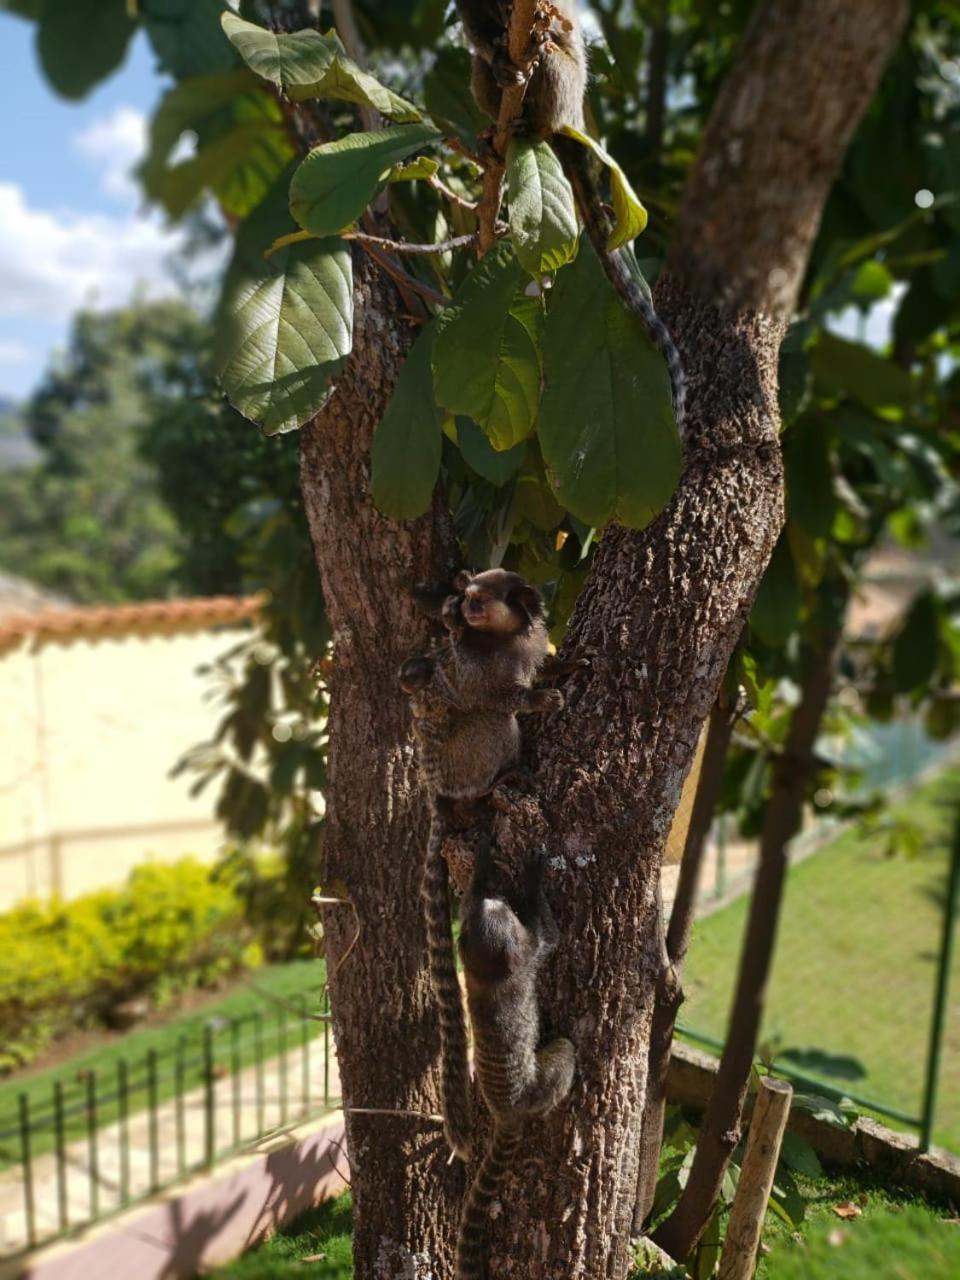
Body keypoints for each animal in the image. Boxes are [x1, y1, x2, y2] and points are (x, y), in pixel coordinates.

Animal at [399, 570, 563, 1162]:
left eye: (478, 602)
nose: (461, 610)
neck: (502, 641)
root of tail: (439, 791)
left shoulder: (529, 642)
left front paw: (563, 668)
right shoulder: (475, 671)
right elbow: (486, 696)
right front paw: (540, 698)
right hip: (461, 760)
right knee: (493, 722)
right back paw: (499, 782)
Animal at [455, 0, 686, 430]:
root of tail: (572, 120)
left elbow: (553, 20)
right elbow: (476, 31)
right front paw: (498, 56)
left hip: (568, 89)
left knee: (549, 58)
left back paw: (532, 123)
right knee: (479, 69)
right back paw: (497, 132)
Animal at [455, 839, 576, 1280]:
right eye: (505, 912)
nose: (500, 899)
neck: (489, 977)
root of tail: (507, 1113)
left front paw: (483, 863)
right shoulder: (527, 957)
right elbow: (550, 937)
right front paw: (534, 877)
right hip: (539, 1084)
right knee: (566, 1052)